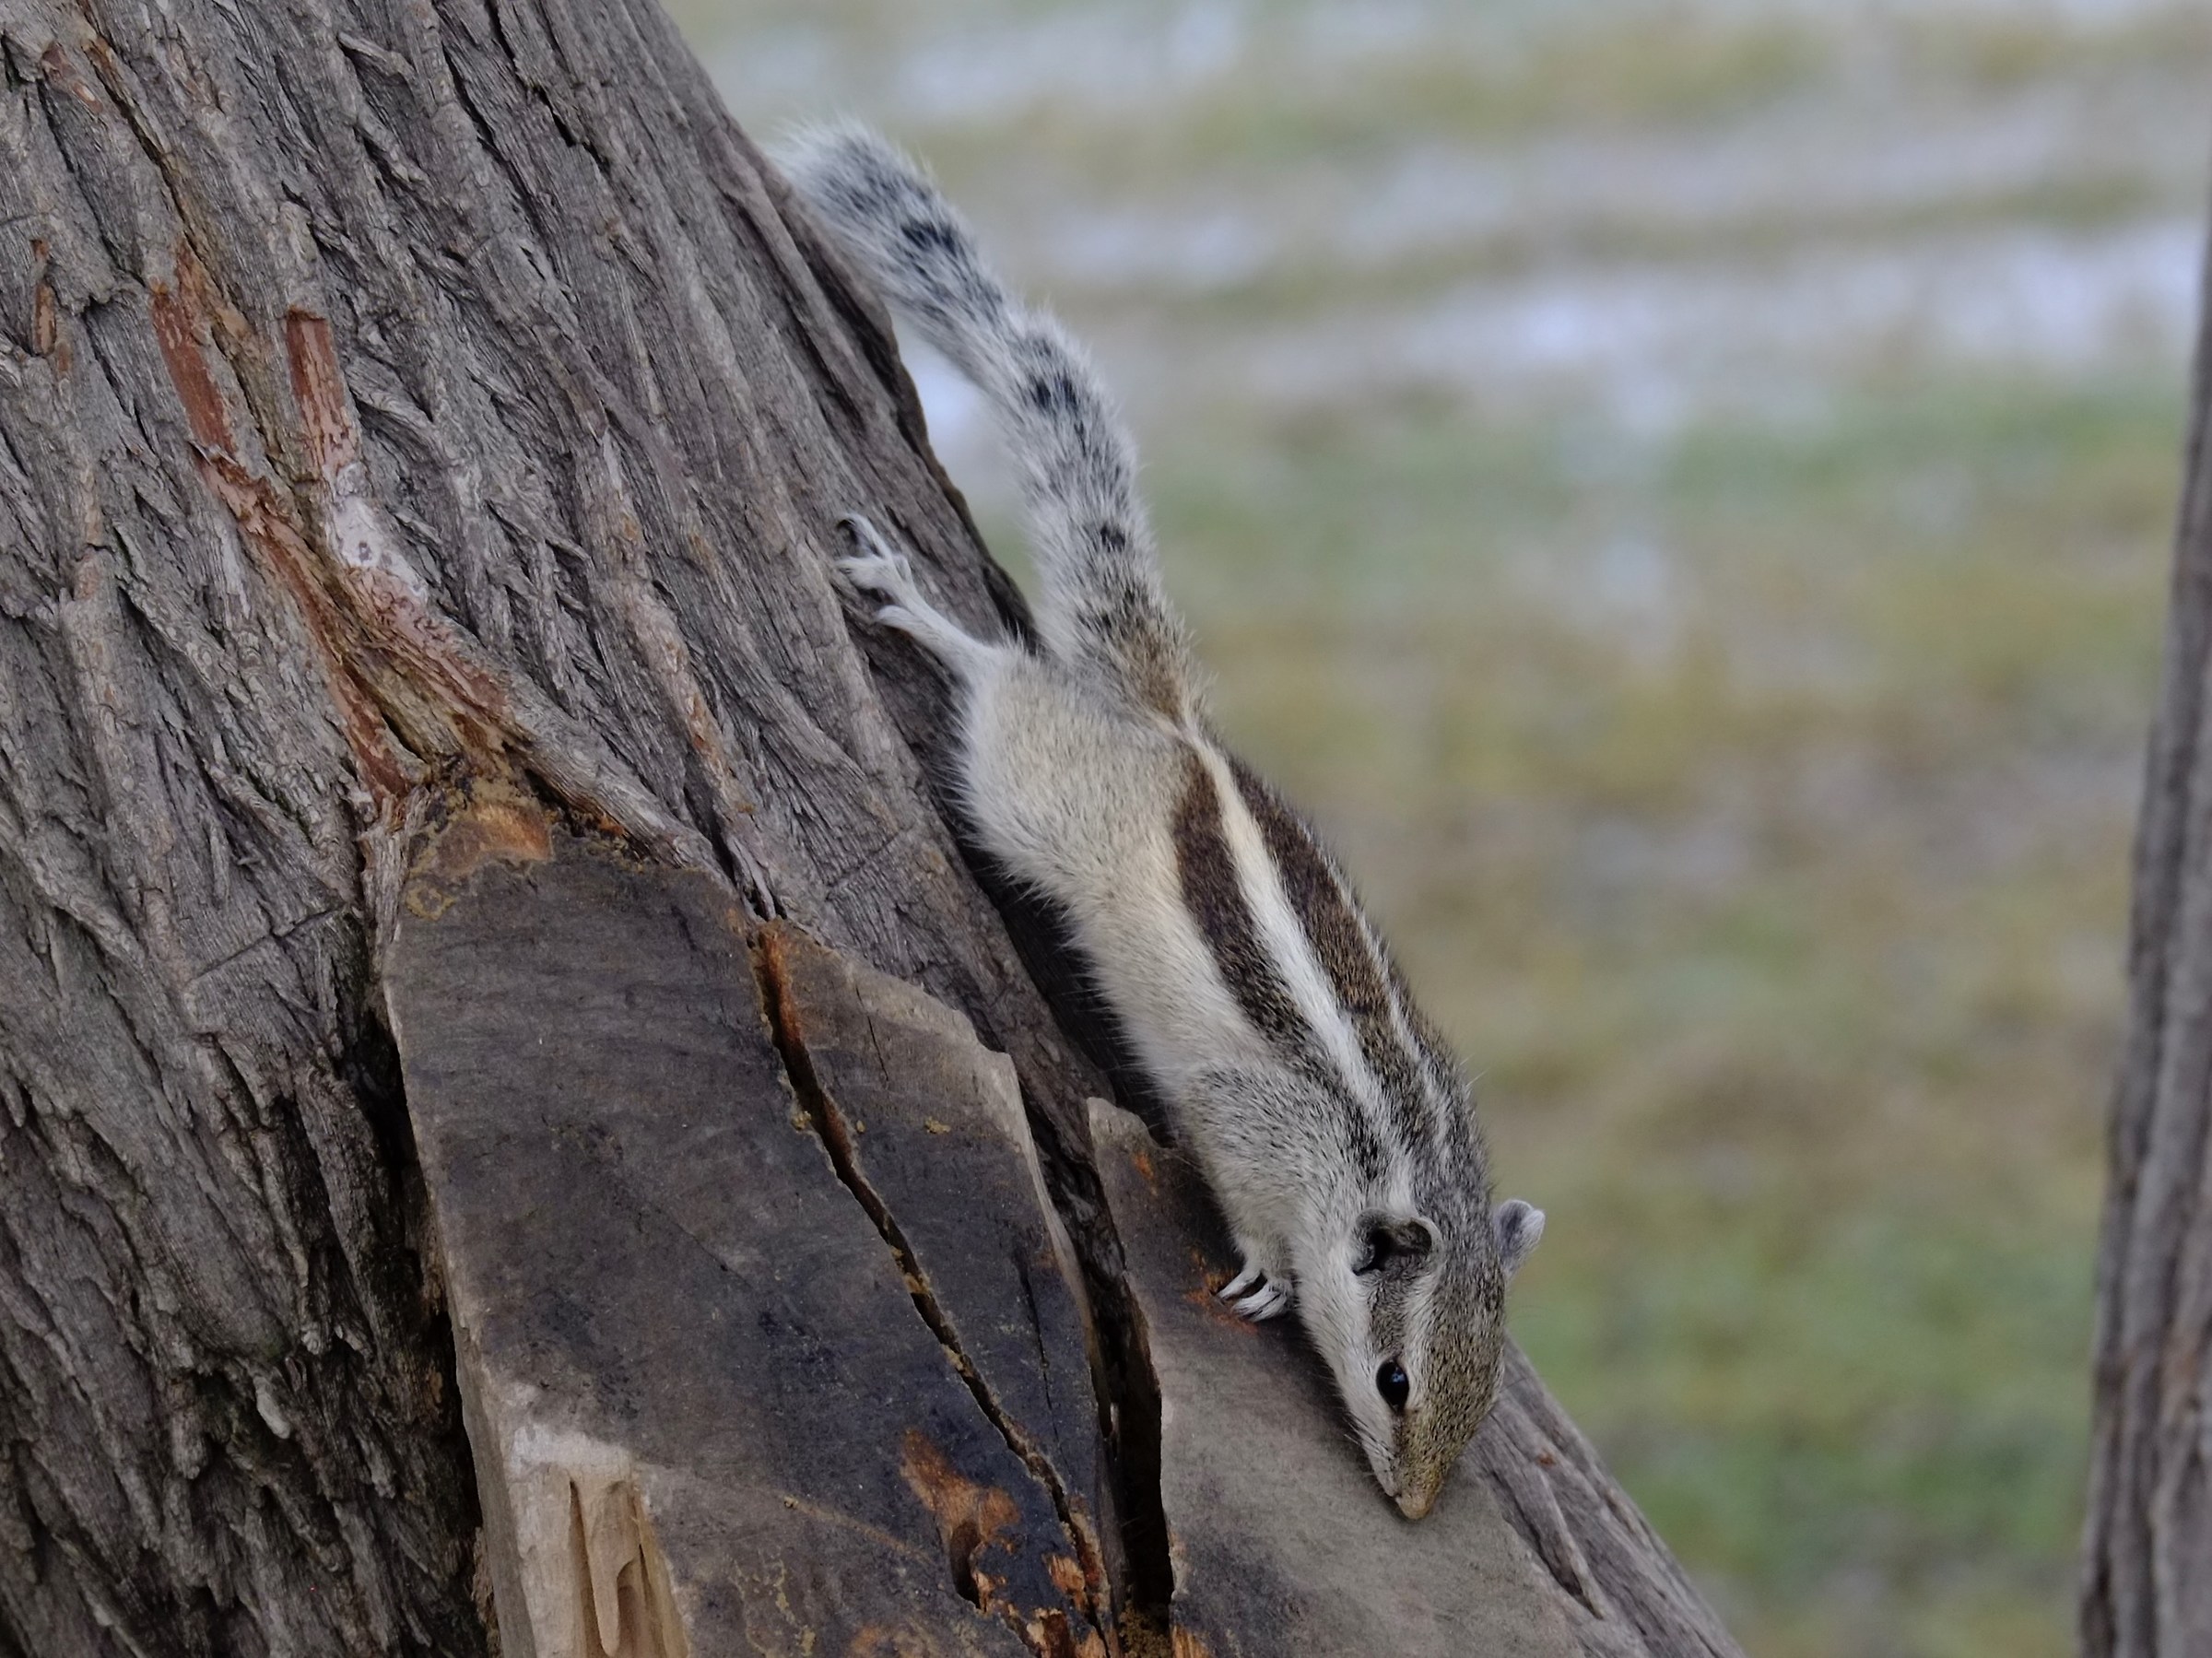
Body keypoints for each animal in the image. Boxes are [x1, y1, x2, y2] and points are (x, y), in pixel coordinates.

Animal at [778, 125, 1543, 1522]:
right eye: (1397, 1379)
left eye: (1489, 1385)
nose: (1413, 1504)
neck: (1393, 1159)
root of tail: (1171, 730)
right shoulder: (1246, 1123)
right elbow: (1243, 1202)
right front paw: (1267, 1275)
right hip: (1038, 785)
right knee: (999, 684)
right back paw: (918, 605)